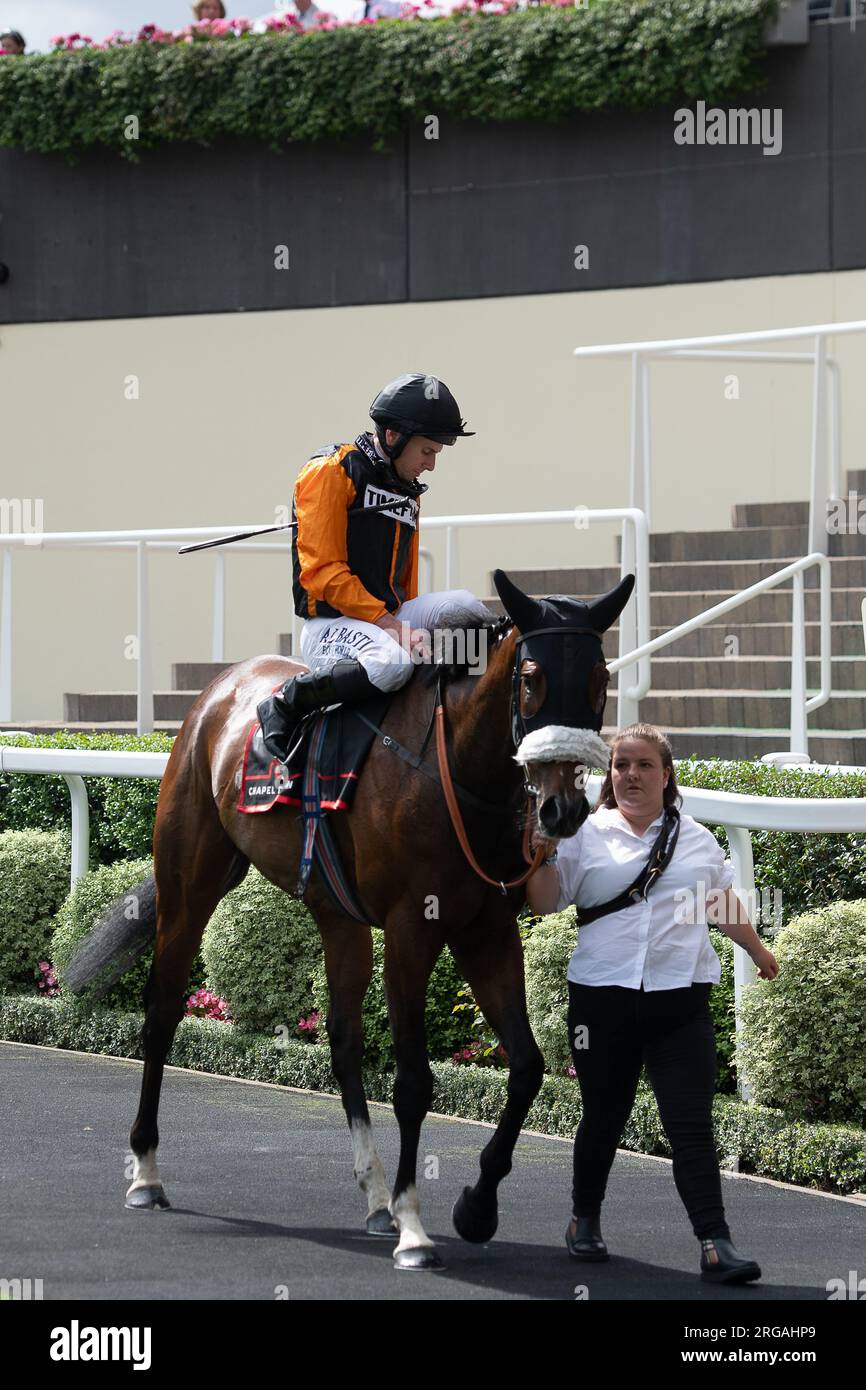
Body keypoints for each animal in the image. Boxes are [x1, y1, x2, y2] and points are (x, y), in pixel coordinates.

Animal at [67, 564, 633, 1273]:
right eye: (531, 679)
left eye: (600, 679)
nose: (561, 809)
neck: (452, 766)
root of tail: (221, 691)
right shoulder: (413, 929)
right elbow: (415, 1082)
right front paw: (416, 1227)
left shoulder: (487, 928)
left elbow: (528, 1066)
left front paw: (476, 1207)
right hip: (189, 886)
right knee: (163, 1009)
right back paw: (145, 1170)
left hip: (336, 912)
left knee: (342, 1037)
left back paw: (373, 1196)